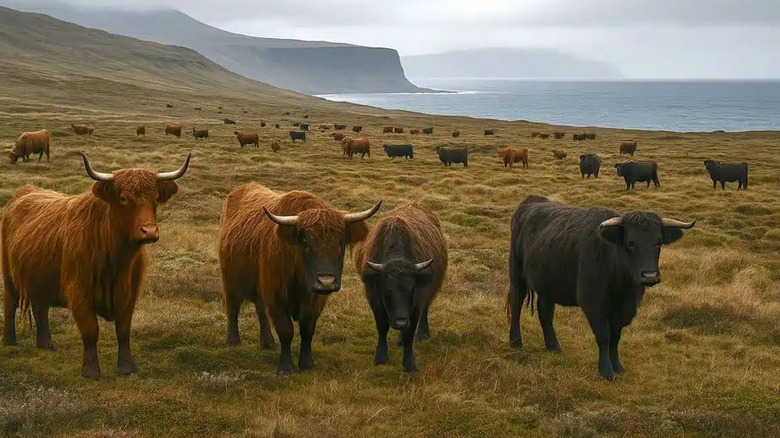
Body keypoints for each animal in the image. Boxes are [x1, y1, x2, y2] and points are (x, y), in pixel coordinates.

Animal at [2, 153, 190, 379]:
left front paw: (127, 367)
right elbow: (91, 330)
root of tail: (24, 191)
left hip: (41, 277)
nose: (150, 231)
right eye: (123, 198)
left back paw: (46, 343)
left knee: (41, 307)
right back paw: (10, 342)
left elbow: (123, 329)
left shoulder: (130, 293)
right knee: (10, 304)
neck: (117, 260)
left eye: (155, 198)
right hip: (8, 274)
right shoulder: (78, 291)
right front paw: (91, 370)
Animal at [219, 183, 380, 373]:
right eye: (305, 243)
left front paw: (307, 363)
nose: (326, 282)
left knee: (260, 310)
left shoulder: (315, 300)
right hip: (230, 280)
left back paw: (268, 342)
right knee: (233, 307)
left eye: (340, 243)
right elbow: (286, 330)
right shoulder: (276, 295)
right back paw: (233, 340)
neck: (300, 279)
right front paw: (286, 367)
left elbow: (307, 330)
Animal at [353, 202, 448, 372]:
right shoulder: (374, 299)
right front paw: (381, 357)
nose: (401, 322)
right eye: (388, 290)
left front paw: (410, 364)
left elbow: (410, 332)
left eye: (411, 289)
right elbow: (382, 327)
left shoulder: (417, 302)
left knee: (425, 310)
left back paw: (422, 334)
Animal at [507, 195, 695, 380]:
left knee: (545, 312)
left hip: (548, 284)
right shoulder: (593, 304)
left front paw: (617, 366)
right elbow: (604, 336)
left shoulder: (624, 309)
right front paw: (606, 371)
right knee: (516, 304)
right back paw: (515, 342)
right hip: (517, 274)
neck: (621, 285)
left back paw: (553, 346)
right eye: (630, 243)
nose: (649, 276)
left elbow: (615, 337)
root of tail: (531, 201)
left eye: (658, 242)